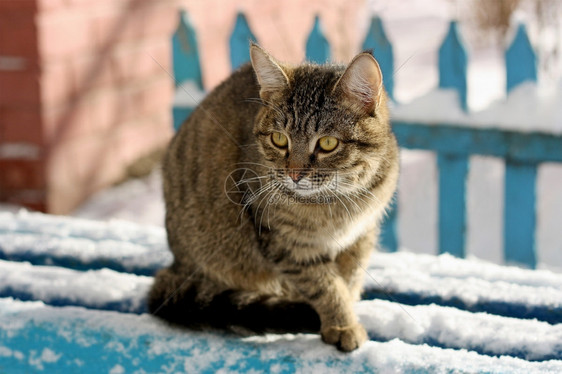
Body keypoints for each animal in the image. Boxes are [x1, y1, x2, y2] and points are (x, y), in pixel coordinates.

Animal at [147, 42, 396, 352]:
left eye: (328, 143)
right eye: (279, 139)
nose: (294, 174)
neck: (336, 201)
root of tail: (176, 263)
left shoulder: (362, 233)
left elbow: (350, 278)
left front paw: (345, 310)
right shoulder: (287, 244)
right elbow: (325, 286)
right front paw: (342, 323)